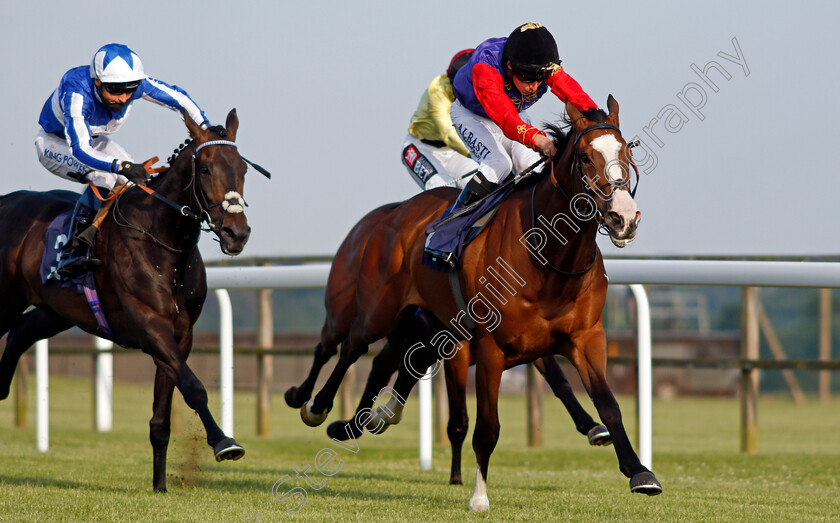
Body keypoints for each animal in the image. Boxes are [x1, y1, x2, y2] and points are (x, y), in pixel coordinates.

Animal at [1, 109, 254, 492]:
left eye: (242, 169)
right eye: (207, 169)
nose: (236, 233)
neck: (164, 242)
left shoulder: (181, 335)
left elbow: (161, 418)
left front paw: (160, 486)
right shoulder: (151, 327)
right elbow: (194, 388)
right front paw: (224, 442)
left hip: (54, 310)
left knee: (18, 334)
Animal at [298, 96, 660, 510]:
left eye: (626, 152)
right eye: (585, 157)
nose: (623, 218)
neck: (547, 257)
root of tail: (393, 214)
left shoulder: (585, 338)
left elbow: (607, 403)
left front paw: (639, 472)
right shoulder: (488, 348)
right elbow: (486, 427)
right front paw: (479, 495)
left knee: (383, 358)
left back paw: (357, 417)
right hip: (377, 308)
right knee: (346, 346)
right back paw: (313, 404)